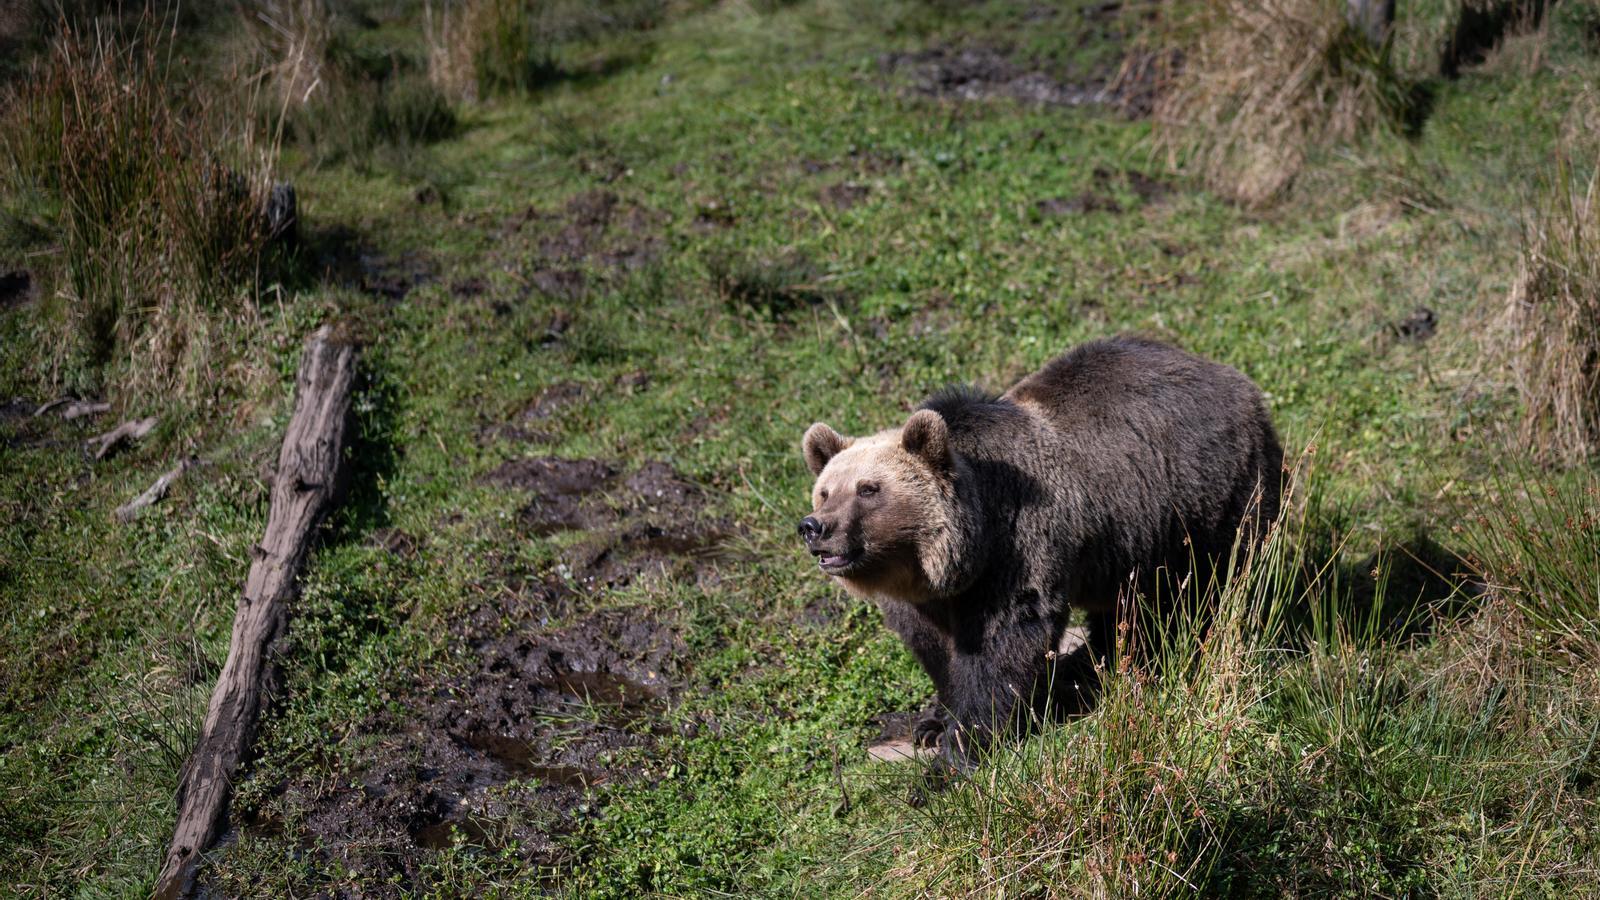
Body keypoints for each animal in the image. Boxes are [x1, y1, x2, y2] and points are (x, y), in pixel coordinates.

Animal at [798, 335, 1282, 766]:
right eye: (825, 491)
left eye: (868, 489)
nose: (814, 528)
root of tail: (1232, 378)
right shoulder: (923, 596)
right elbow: (935, 648)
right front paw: (933, 722)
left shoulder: (1017, 548)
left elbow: (1001, 645)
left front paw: (957, 755)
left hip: (1210, 500)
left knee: (1214, 585)